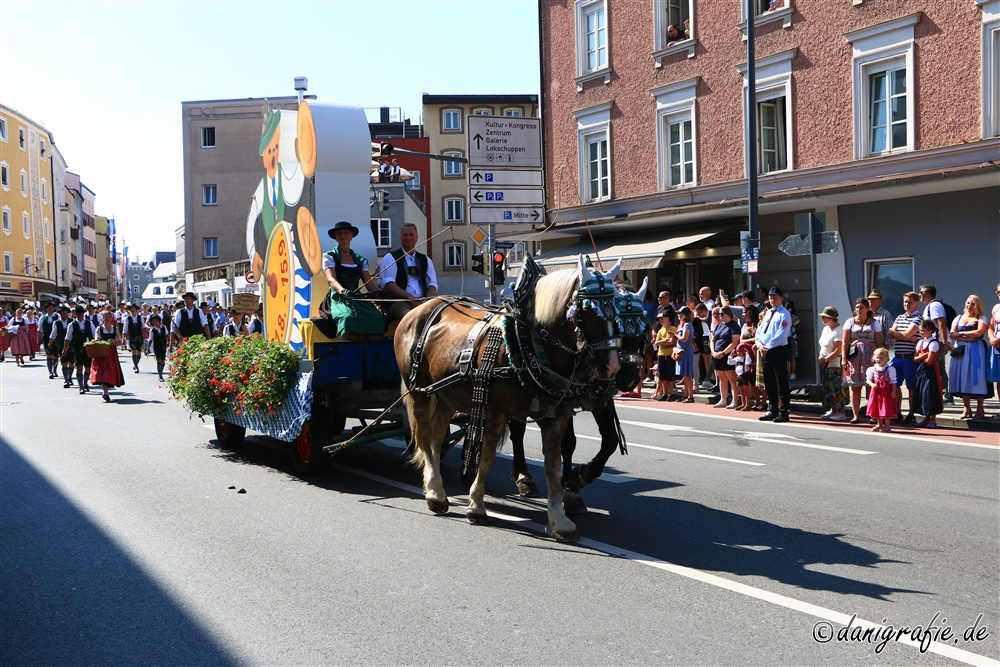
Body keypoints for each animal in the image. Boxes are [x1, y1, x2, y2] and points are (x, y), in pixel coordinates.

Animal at [396, 256, 616, 544]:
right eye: (588, 311)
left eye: (617, 311)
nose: (612, 368)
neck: (527, 342)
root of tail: (420, 309)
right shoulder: (495, 411)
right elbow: (487, 456)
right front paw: (476, 506)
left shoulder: (556, 416)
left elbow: (553, 467)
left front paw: (560, 520)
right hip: (419, 391)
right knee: (423, 437)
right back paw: (435, 493)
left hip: (445, 396)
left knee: (435, 437)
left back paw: (436, 490)